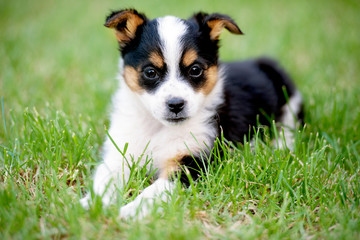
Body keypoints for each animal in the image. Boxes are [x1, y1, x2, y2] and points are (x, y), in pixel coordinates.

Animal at [81, 9, 304, 218]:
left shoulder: (192, 161)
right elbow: (105, 179)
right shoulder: (120, 153)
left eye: (195, 70)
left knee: (288, 129)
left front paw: (131, 211)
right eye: (150, 72)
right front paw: (91, 205)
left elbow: (154, 191)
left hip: (290, 100)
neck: (158, 128)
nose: (176, 105)